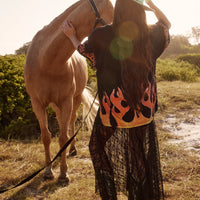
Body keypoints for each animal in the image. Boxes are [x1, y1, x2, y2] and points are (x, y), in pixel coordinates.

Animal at [24, 0, 113, 182]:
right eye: (112, 12)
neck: (47, 61)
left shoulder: (66, 100)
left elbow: (63, 137)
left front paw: (63, 173)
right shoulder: (37, 103)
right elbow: (46, 136)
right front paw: (48, 171)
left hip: (75, 99)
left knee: (71, 122)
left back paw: (72, 149)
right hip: (55, 104)